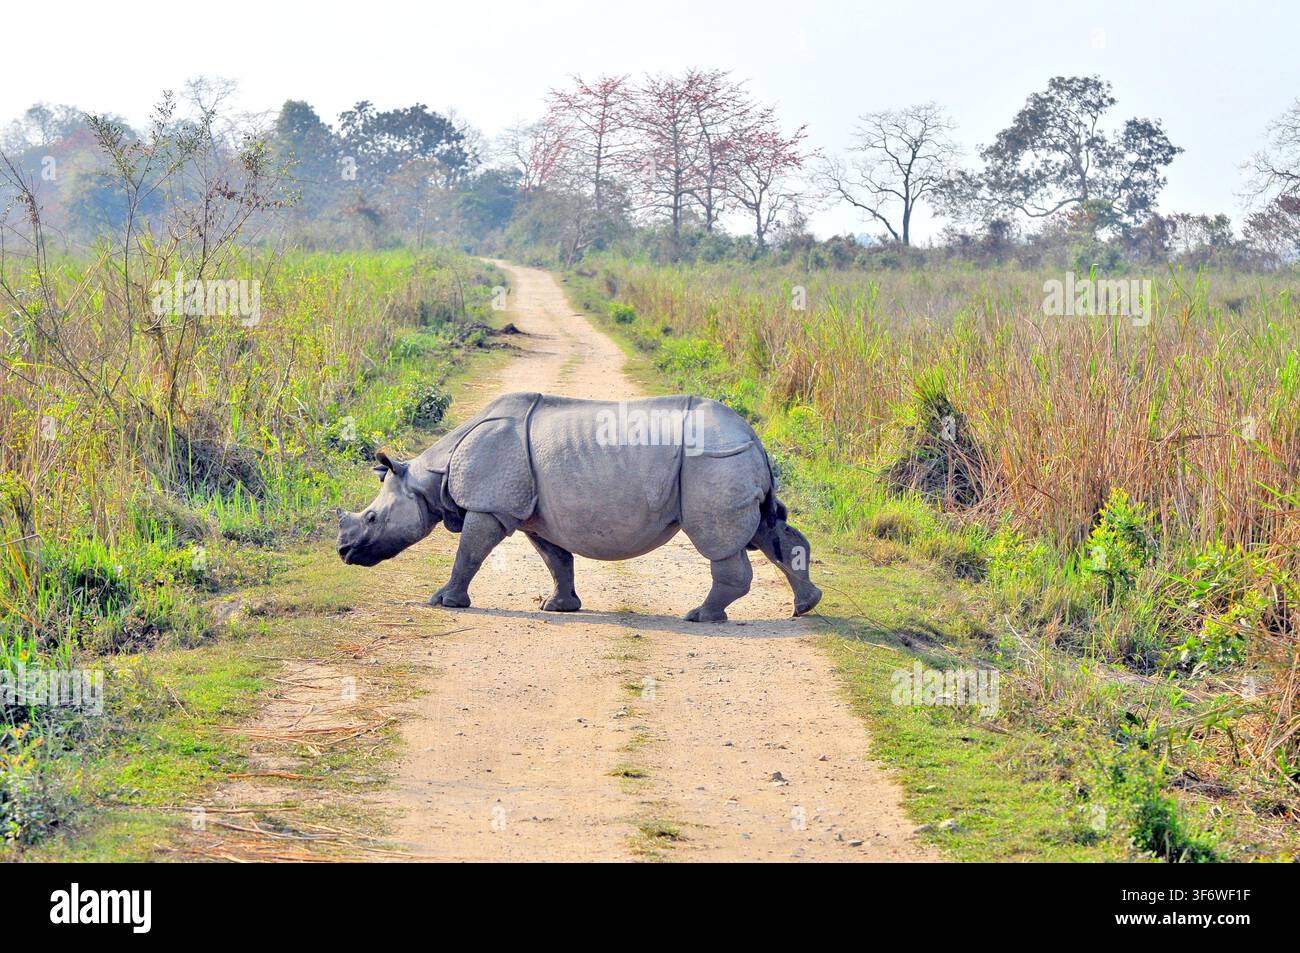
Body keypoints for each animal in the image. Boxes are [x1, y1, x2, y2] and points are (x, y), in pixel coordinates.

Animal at [336, 392, 822, 622]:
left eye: (373, 518)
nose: (343, 552)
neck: (427, 477)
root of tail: (754, 436)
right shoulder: (532, 515)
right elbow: (557, 559)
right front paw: (560, 606)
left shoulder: (490, 506)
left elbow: (469, 553)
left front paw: (444, 602)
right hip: (730, 458)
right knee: (768, 530)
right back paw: (805, 607)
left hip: (712, 461)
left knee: (720, 542)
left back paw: (700, 617)